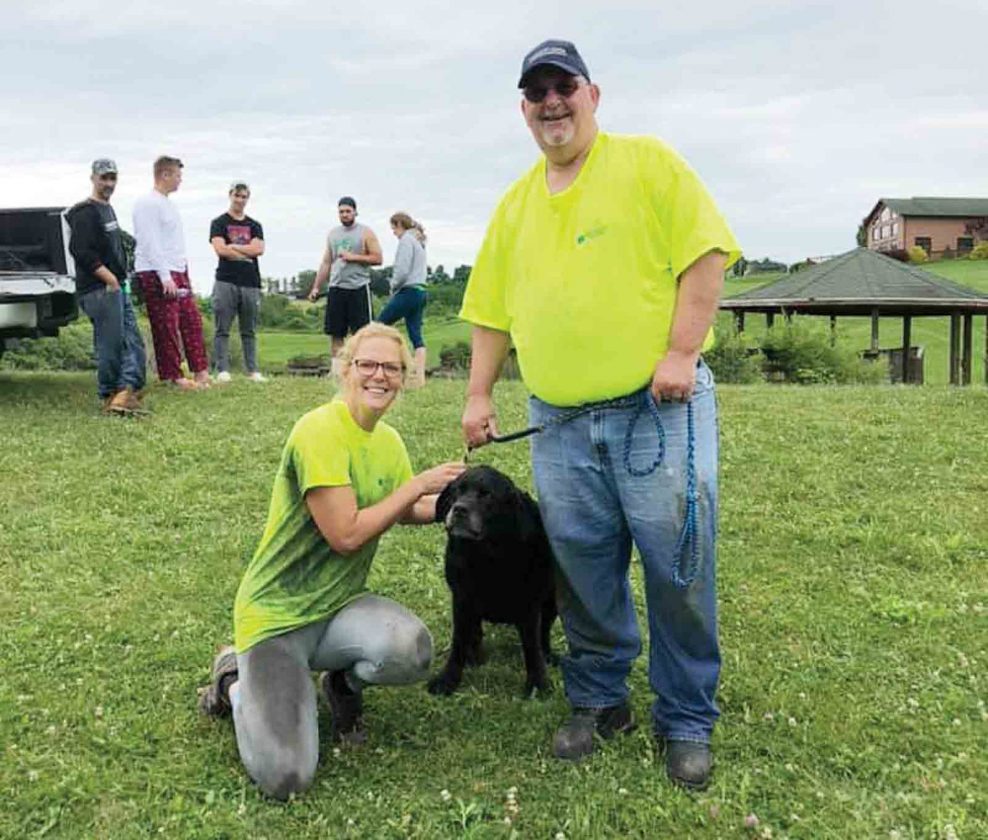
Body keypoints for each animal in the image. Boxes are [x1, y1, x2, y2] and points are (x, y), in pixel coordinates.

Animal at [428, 465, 558, 697]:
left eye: (486, 495)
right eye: (456, 491)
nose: (459, 509)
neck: (488, 556)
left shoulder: (530, 605)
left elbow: (532, 647)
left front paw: (537, 684)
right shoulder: (462, 600)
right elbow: (458, 644)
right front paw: (448, 680)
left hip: (553, 601)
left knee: (543, 634)